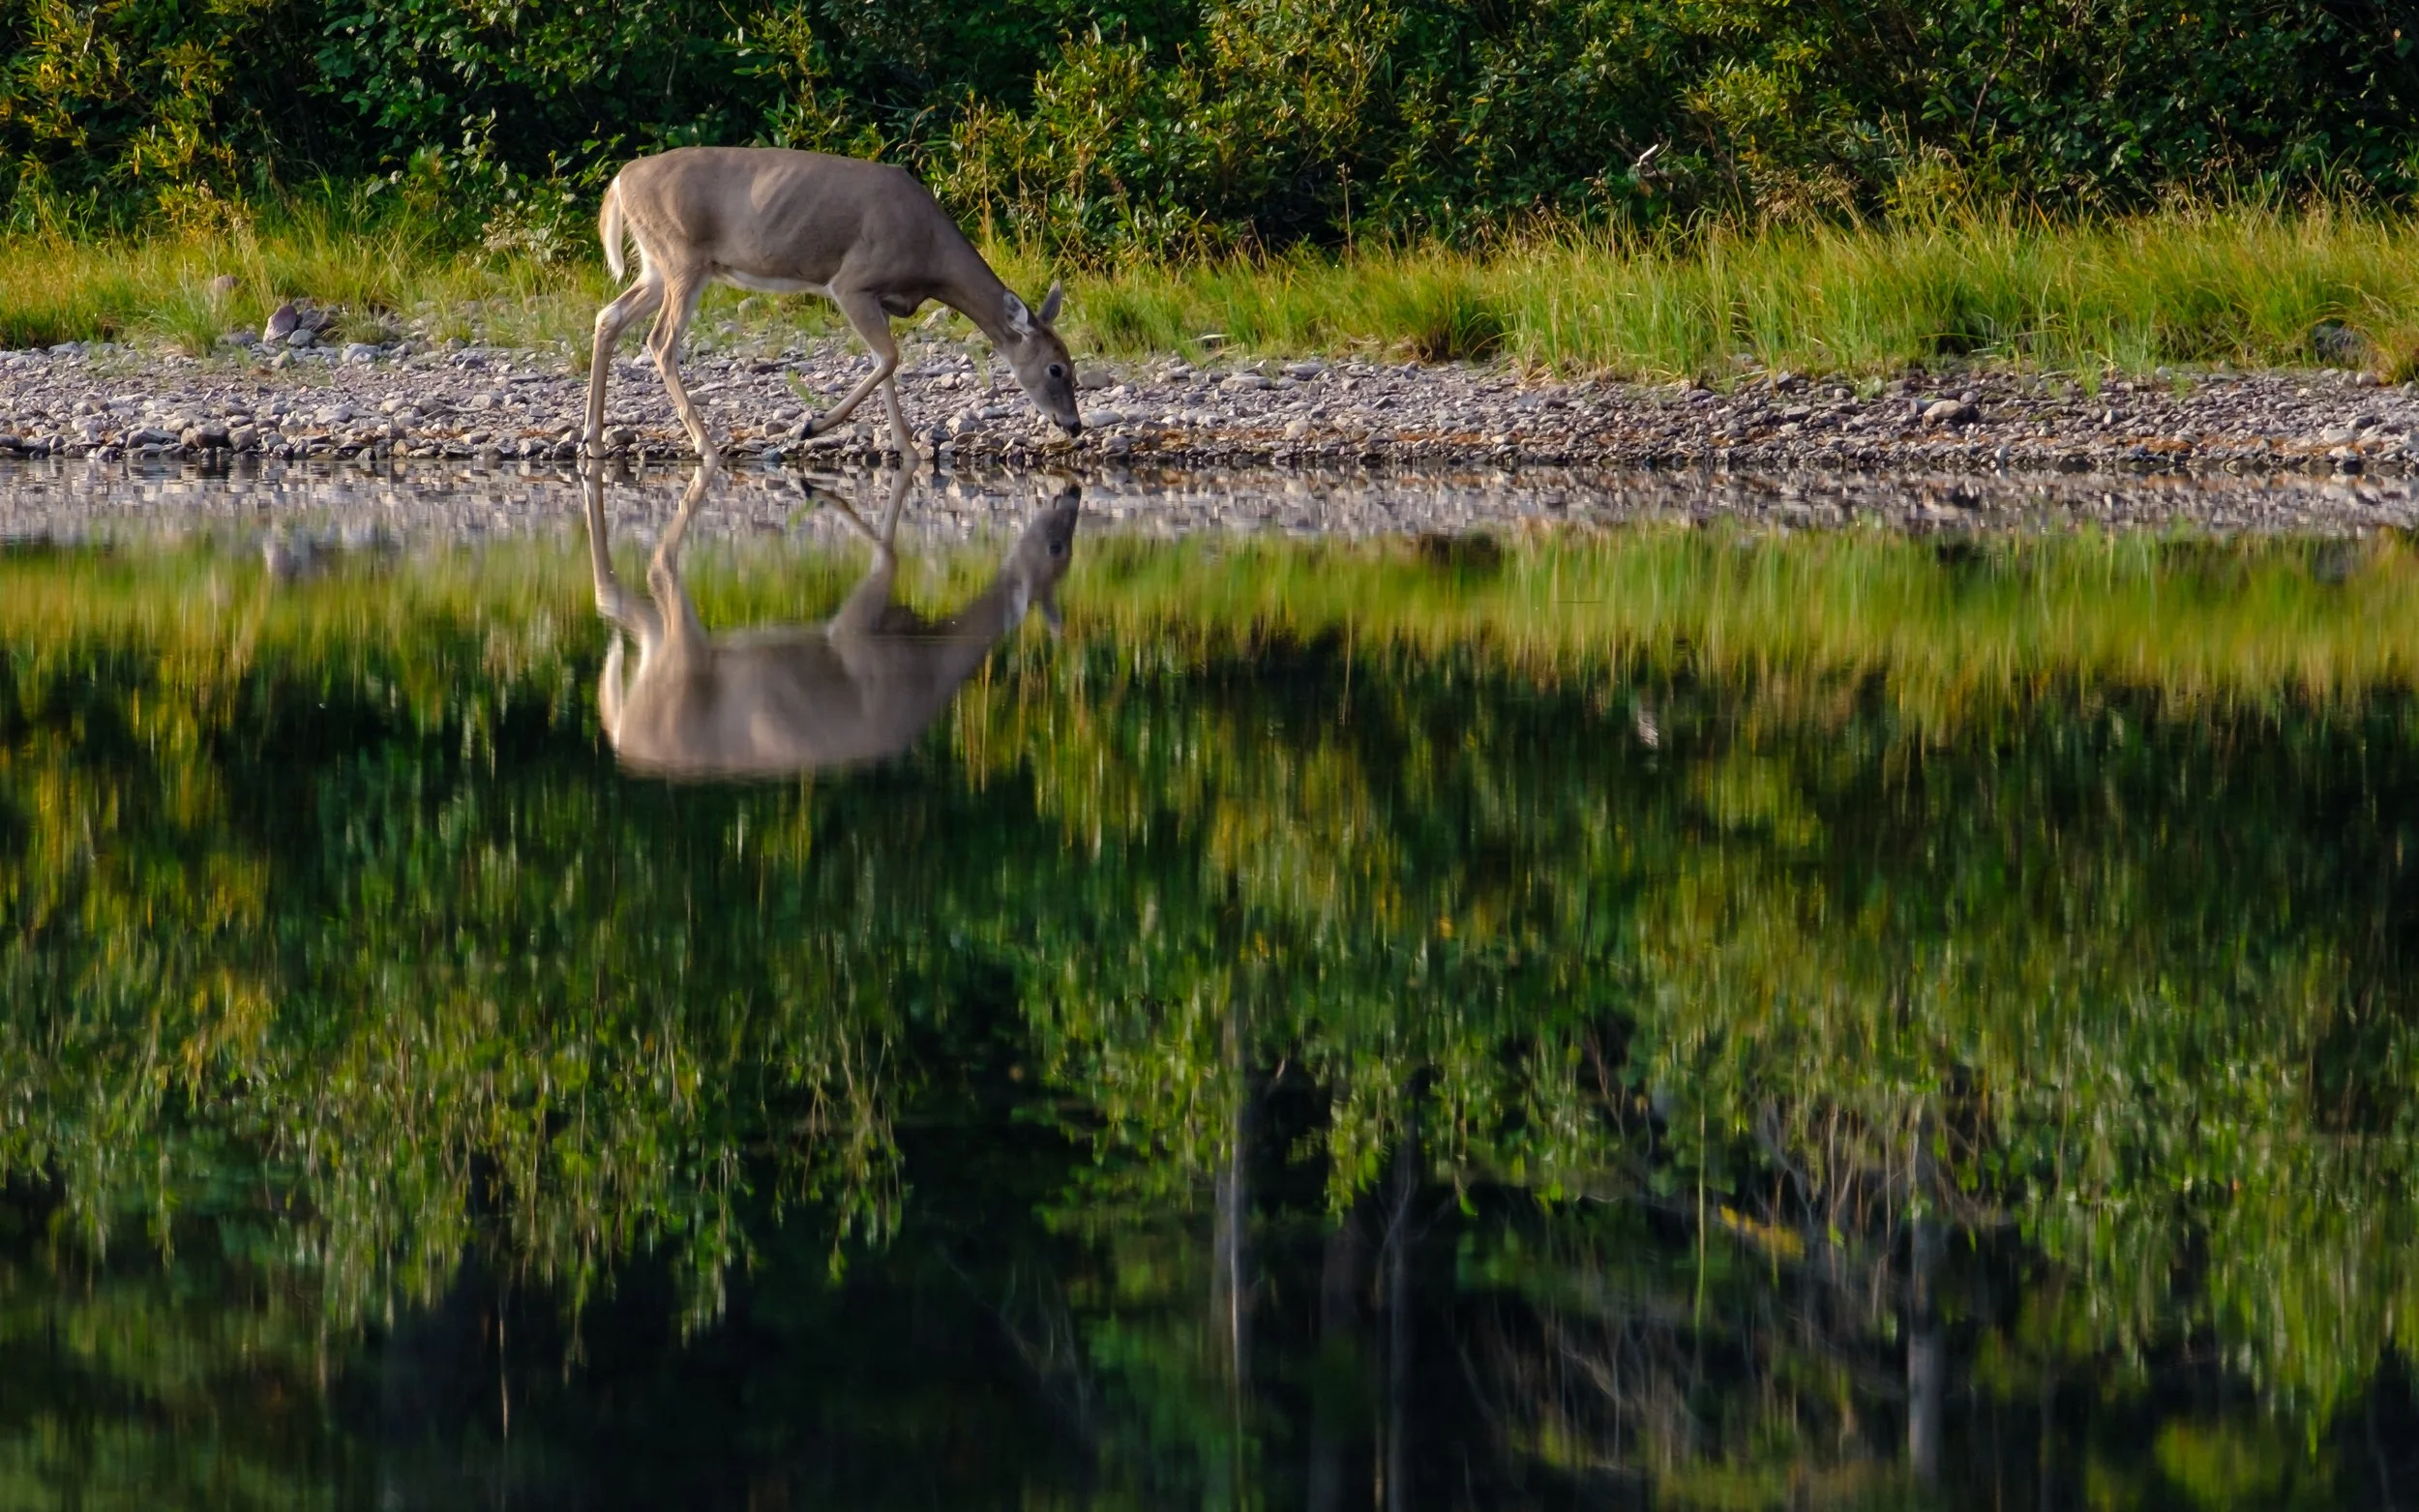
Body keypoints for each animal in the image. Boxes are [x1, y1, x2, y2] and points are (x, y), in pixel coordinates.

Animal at [584, 465, 1081, 779]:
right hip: (679, 655)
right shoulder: (857, 633)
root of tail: (622, 733)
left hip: (659, 652)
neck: (928, 656)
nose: (1071, 498)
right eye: (1057, 549)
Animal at [585, 146, 1083, 467]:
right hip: (682, 257)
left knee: (608, 316)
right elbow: (890, 357)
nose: (1075, 425)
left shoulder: (879, 298)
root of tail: (619, 180)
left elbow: (887, 364)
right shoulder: (851, 282)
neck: (929, 255)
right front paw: (810, 426)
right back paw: (706, 447)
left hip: (656, 265)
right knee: (660, 341)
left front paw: (907, 449)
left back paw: (594, 441)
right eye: (1056, 368)